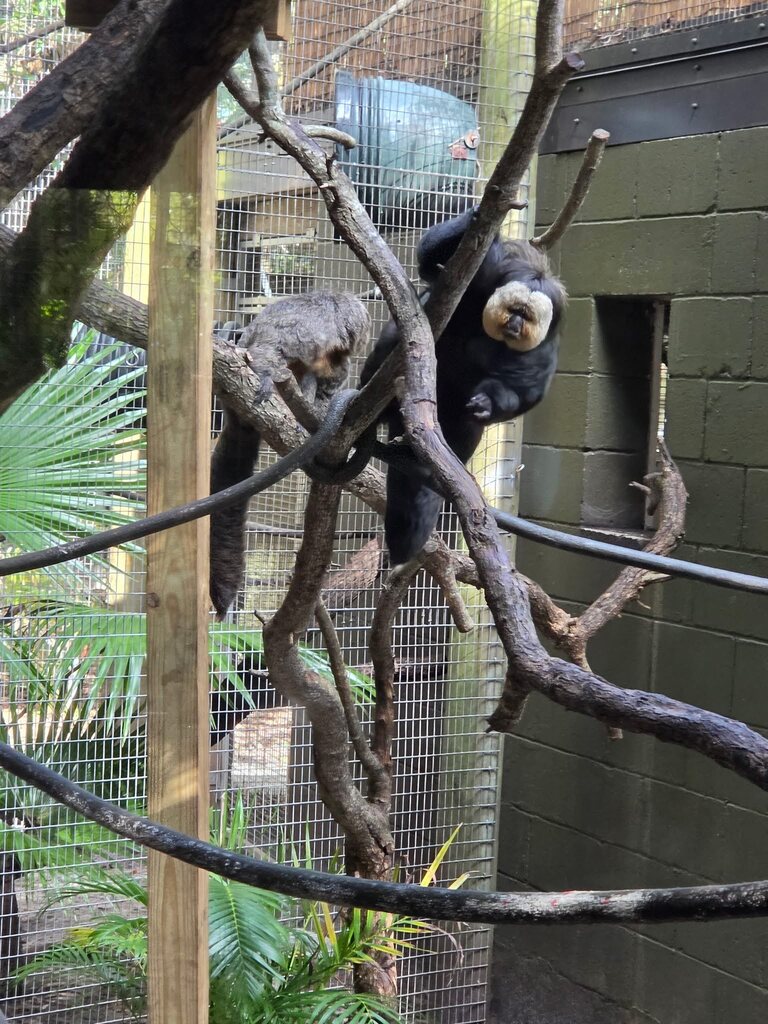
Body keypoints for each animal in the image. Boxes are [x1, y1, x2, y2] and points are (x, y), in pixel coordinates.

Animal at [360, 205, 566, 566]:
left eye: (526, 317)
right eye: (514, 309)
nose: (514, 324)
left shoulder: (544, 346)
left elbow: (522, 393)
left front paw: (486, 403)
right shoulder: (484, 276)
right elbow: (430, 260)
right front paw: (477, 217)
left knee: (465, 427)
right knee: (392, 345)